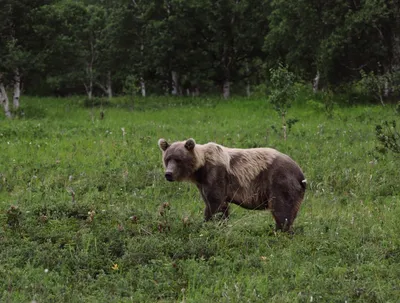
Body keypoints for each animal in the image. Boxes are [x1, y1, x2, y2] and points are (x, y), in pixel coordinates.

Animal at [157, 139, 306, 232]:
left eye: (178, 160)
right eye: (167, 159)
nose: (168, 174)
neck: (200, 170)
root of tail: (300, 173)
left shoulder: (216, 175)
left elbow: (216, 204)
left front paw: (210, 224)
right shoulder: (202, 183)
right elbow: (213, 204)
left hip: (281, 181)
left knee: (282, 210)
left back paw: (280, 231)